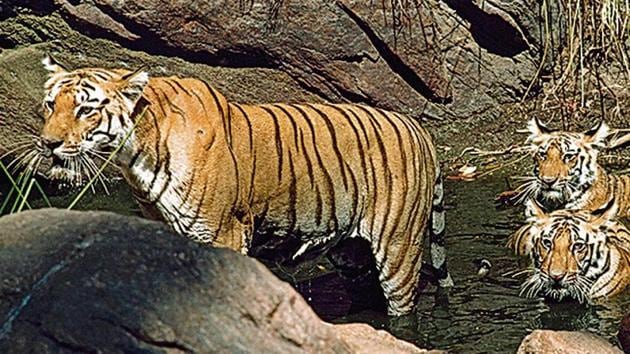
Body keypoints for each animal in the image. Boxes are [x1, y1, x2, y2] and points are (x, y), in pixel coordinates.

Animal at [30, 56, 454, 316]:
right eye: (51, 104)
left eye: (86, 109)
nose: (48, 143)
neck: (137, 155)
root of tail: (419, 128)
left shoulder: (223, 235)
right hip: (352, 253)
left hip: (398, 248)